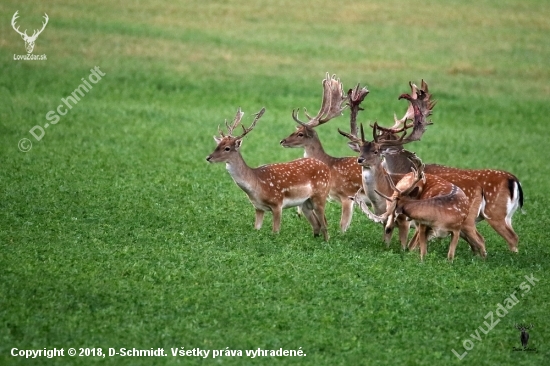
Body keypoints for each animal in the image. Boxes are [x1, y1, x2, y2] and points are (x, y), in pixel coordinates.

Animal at [207, 107, 332, 242]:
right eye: (217, 145)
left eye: (227, 148)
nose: (208, 157)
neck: (256, 185)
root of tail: (325, 167)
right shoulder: (258, 207)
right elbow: (256, 228)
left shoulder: (277, 203)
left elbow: (275, 231)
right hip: (305, 202)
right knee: (317, 224)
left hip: (320, 195)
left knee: (324, 223)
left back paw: (326, 241)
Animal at [282, 74, 368, 232]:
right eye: (296, 131)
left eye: (301, 134)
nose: (282, 141)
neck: (329, 164)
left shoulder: (347, 195)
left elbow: (343, 226)